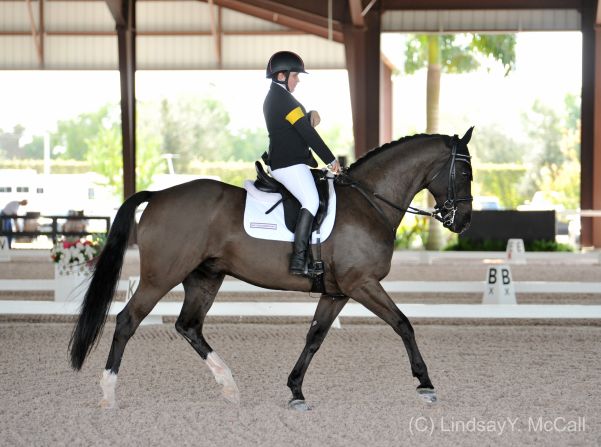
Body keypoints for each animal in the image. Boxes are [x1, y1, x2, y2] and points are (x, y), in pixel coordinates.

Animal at [69, 128, 474, 412]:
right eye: (464, 172)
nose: (462, 222)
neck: (369, 201)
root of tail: (157, 195)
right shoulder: (363, 284)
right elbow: (403, 324)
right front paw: (425, 384)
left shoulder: (337, 292)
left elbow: (315, 337)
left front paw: (296, 390)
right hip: (160, 277)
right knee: (127, 321)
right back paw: (108, 394)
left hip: (205, 277)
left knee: (189, 326)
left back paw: (229, 386)